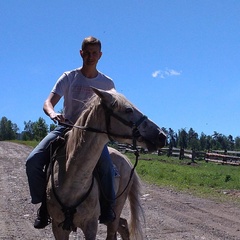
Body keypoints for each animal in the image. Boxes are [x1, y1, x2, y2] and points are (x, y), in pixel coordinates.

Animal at [47, 88, 167, 240]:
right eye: (128, 110)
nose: (162, 136)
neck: (72, 184)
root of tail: (125, 158)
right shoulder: (58, 227)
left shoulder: (91, 226)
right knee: (122, 225)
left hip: (117, 206)